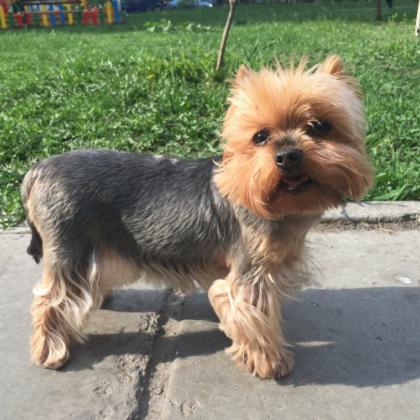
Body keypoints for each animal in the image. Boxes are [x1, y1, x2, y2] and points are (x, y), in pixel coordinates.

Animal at [22, 55, 373, 379]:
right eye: (260, 136)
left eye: (320, 127)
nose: (287, 156)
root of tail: (37, 170)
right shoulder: (249, 272)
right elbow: (251, 314)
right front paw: (270, 361)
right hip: (68, 245)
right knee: (50, 299)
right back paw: (50, 351)